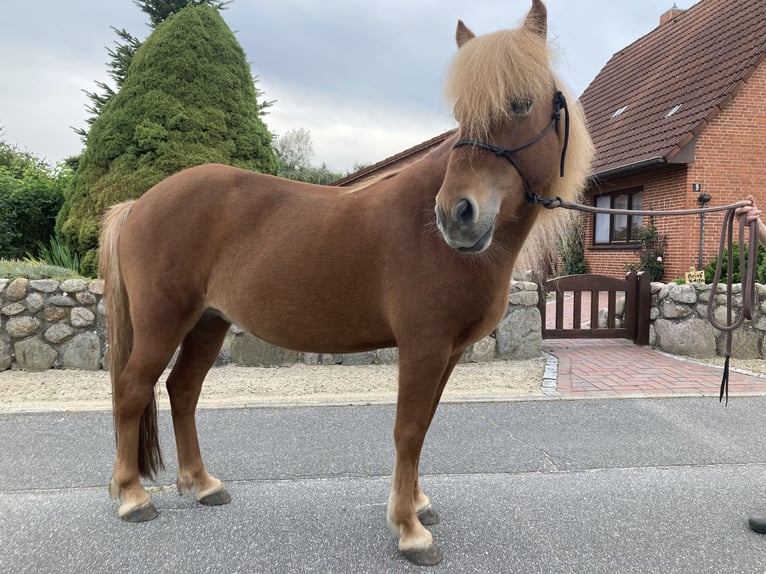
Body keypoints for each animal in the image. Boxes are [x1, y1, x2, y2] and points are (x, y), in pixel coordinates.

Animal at [99, 0, 593, 565]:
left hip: (208, 322)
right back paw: (133, 497)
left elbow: (424, 426)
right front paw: (409, 530)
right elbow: (408, 430)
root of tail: (140, 203)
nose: (456, 216)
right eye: (461, 114)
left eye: (519, 103)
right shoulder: (423, 346)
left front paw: (419, 506)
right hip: (163, 323)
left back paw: (202, 484)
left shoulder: (447, 352)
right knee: (132, 389)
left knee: (182, 390)